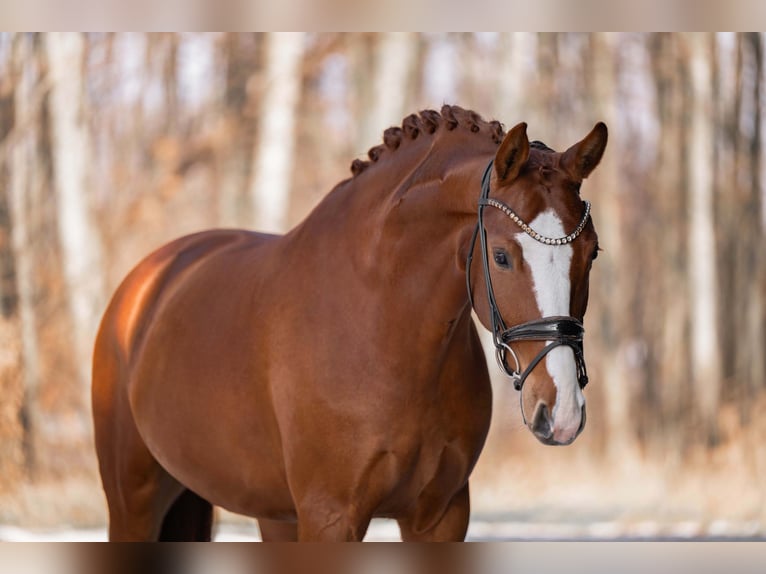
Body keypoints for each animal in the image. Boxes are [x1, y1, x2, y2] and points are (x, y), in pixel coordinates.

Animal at [92, 105, 607, 541]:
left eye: (592, 252)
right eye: (501, 256)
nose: (561, 412)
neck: (382, 324)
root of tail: (146, 281)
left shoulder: (441, 516)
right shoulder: (330, 517)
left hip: (270, 514)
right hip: (133, 503)